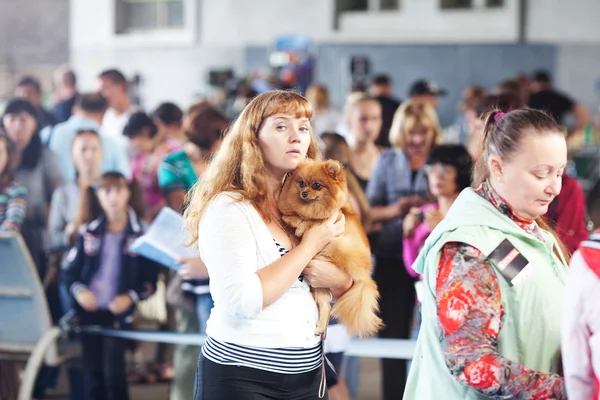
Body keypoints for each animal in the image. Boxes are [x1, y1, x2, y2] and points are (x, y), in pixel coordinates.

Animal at [278, 159, 382, 338]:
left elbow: (314, 221)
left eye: (317, 185)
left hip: (340, 244)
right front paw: (293, 220)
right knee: (326, 306)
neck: (310, 208)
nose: (304, 193)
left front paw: (301, 226)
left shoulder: (335, 217)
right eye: (301, 183)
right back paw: (320, 328)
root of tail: (364, 277)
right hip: (319, 287)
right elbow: (289, 216)